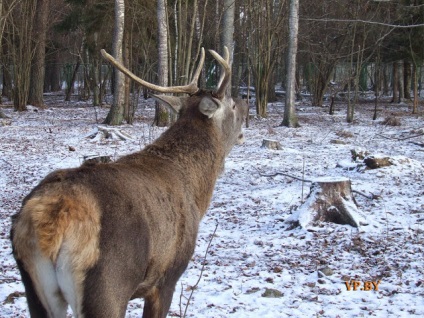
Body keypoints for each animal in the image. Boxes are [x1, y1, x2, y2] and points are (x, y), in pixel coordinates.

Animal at [9, 47, 248, 318]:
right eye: (231, 105)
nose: (246, 101)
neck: (197, 194)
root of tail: (52, 217)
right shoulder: (166, 277)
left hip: (34, 289)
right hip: (108, 286)